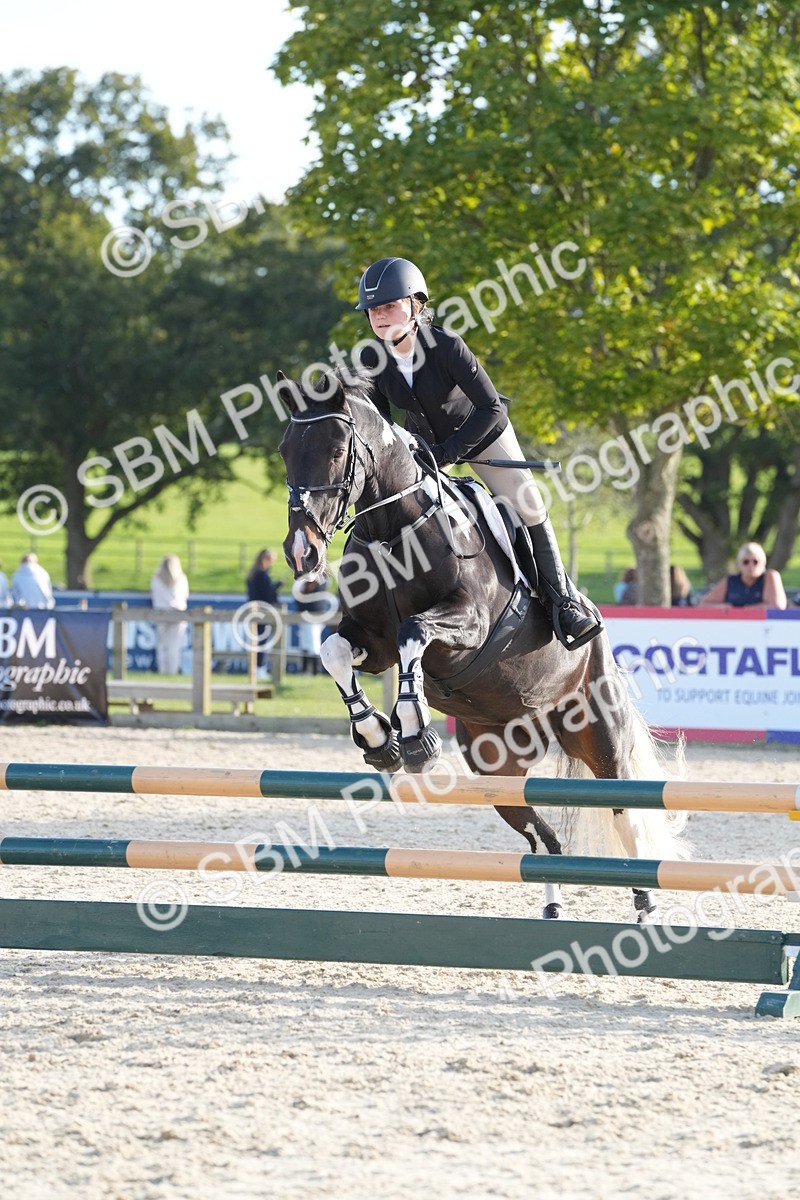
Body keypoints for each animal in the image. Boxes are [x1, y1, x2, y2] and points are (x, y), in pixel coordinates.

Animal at [278, 371, 686, 922]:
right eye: (284, 450)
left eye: (337, 449)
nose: (301, 552)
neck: (394, 531)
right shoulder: (372, 642)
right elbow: (335, 653)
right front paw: (376, 736)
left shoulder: (466, 626)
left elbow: (413, 632)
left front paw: (414, 734)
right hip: (498, 763)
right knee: (543, 838)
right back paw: (553, 908)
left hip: (598, 732)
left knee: (625, 811)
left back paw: (644, 907)